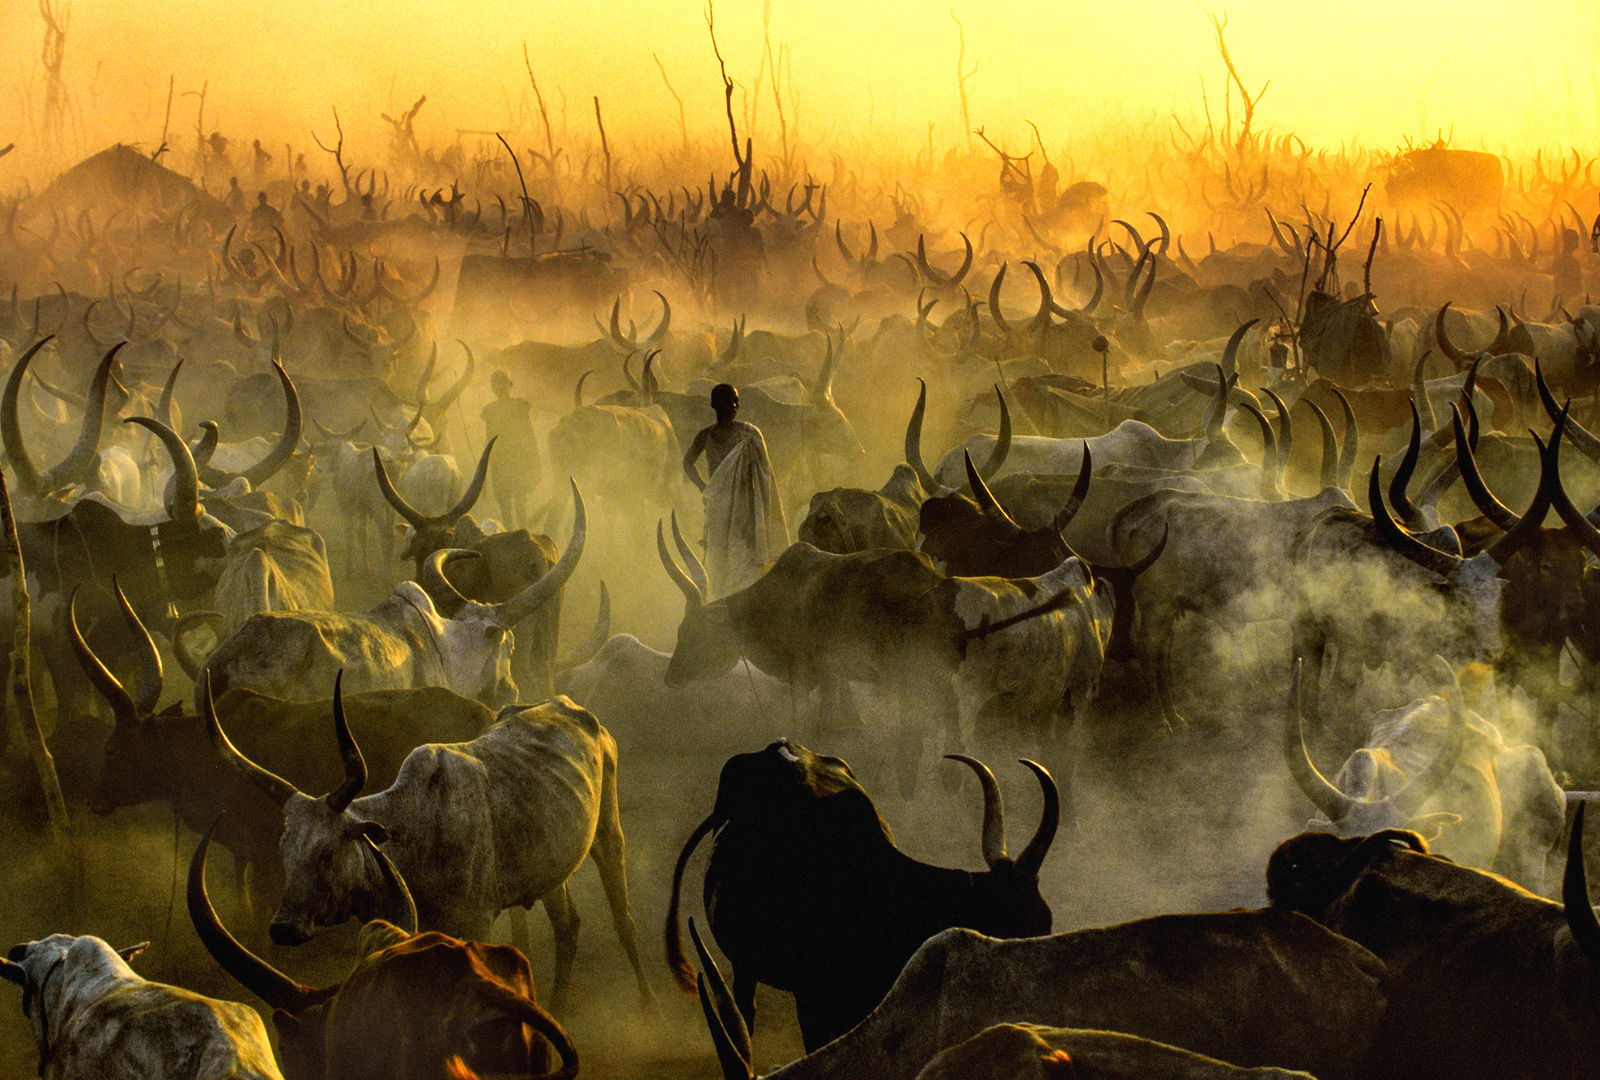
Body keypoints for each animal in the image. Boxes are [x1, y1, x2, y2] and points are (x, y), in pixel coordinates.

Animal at [205, 679, 654, 1009]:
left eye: (326, 853)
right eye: (285, 850)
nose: (283, 928)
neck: (416, 833)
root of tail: (565, 704)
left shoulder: (475, 924)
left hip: (608, 836)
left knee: (624, 920)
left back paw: (650, 1006)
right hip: (549, 869)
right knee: (567, 926)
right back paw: (558, 1009)